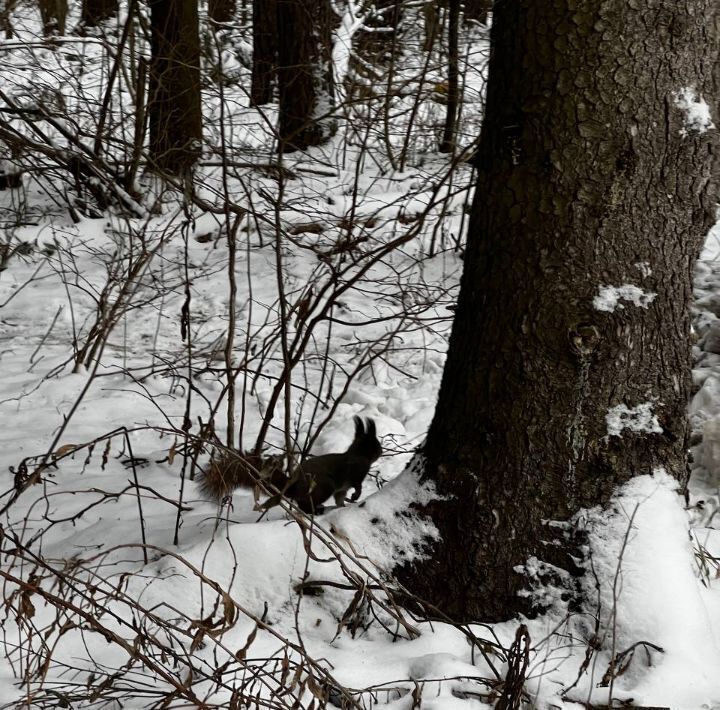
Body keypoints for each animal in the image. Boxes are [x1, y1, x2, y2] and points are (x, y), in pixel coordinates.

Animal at [200, 414, 382, 516]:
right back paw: (314, 510)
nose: (381, 451)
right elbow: (357, 486)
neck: (358, 454)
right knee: (304, 504)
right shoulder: (356, 472)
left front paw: (343, 505)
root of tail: (293, 485)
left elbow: (340, 498)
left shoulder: (341, 488)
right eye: (375, 445)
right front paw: (356, 496)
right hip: (324, 486)